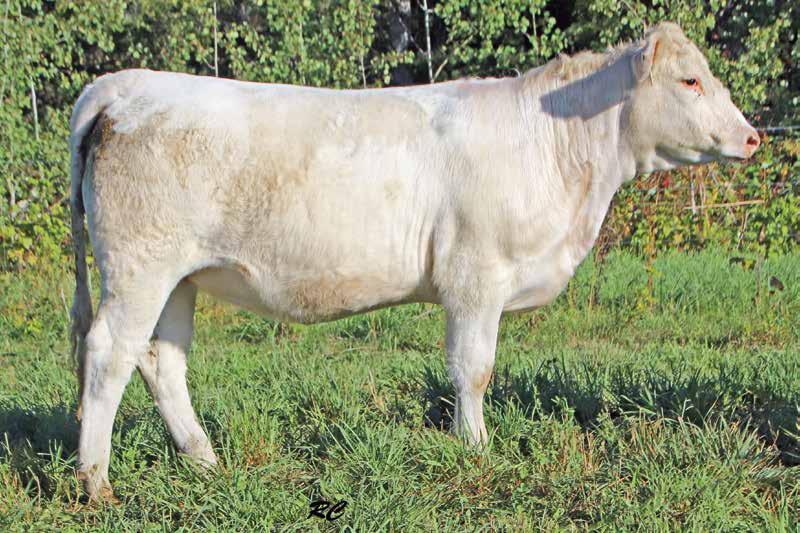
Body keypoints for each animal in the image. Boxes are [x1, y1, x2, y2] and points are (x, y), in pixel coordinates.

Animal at [69, 22, 760, 500]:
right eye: (690, 80)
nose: (752, 136)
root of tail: (126, 84)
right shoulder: (476, 275)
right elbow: (473, 369)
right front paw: (475, 450)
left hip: (179, 278)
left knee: (161, 361)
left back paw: (205, 460)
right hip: (141, 266)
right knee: (108, 353)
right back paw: (96, 483)